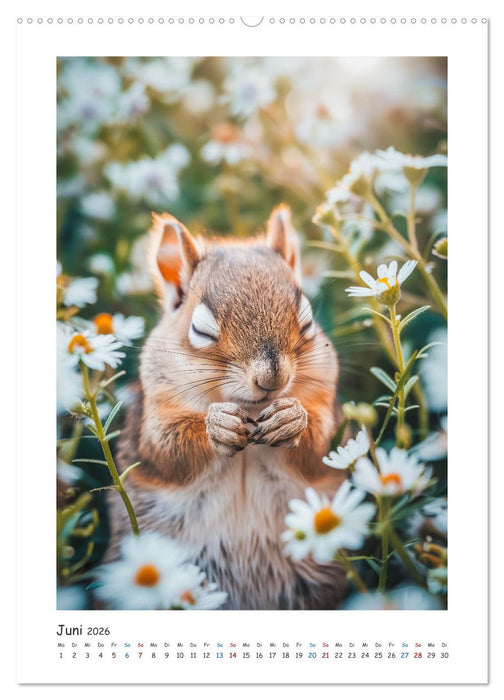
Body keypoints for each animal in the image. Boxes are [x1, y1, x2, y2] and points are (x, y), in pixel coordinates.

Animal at [105, 205, 348, 609]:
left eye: (308, 321)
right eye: (201, 331)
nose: (272, 377)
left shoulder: (327, 403)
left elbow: (320, 448)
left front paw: (291, 419)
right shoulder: (152, 418)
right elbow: (166, 450)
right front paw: (216, 426)